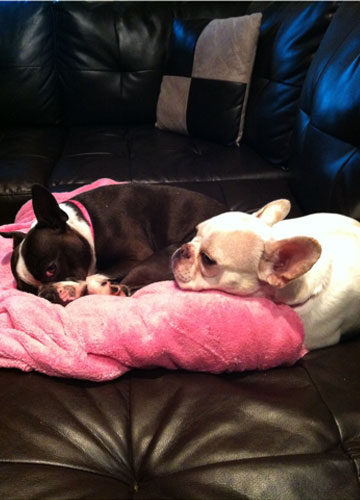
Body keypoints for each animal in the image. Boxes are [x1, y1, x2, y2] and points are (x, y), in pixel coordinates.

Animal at [0, 184, 225, 304]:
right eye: (27, 291)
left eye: (51, 269)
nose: (46, 295)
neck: (87, 224)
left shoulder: (136, 256)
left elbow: (93, 277)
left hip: (163, 257)